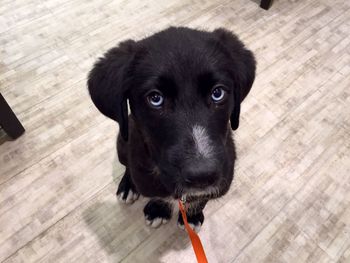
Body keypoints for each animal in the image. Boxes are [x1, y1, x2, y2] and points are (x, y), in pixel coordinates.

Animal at [89, 27, 256, 233]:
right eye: (155, 98)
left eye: (218, 93)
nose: (202, 176)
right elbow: (158, 194)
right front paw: (158, 210)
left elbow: (200, 200)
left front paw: (192, 216)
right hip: (122, 142)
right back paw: (128, 186)